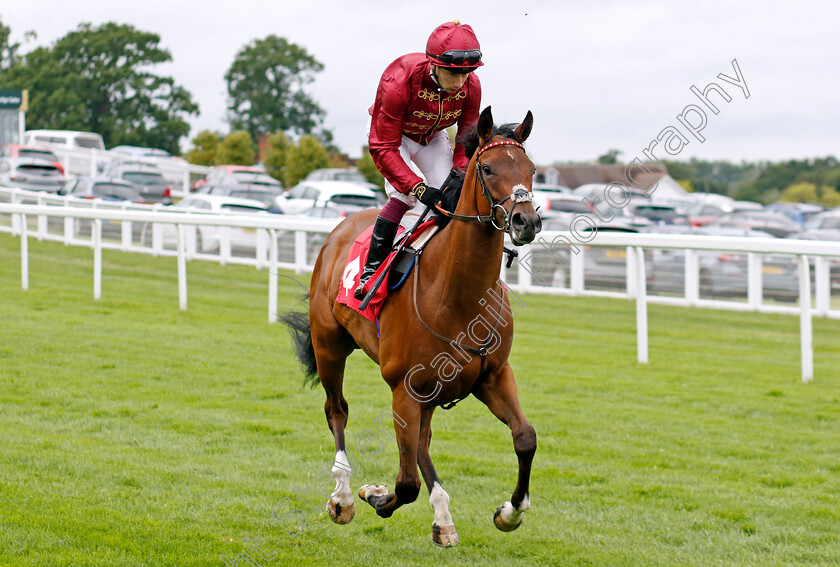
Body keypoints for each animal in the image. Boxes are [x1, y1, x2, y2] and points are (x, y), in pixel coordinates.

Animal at [282, 105, 540, 544]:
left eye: (532, 169)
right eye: (488, 168)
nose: (527, 221)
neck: (457, 295)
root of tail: (341, 227)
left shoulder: (492, 376)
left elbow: (525, 438)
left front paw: (509, 513)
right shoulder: (403, 387)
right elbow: (405, 484)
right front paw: (372, 494)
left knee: (421, 440)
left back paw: (443, 516)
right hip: (329, 345)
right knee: (337, 410)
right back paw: (343, 496)